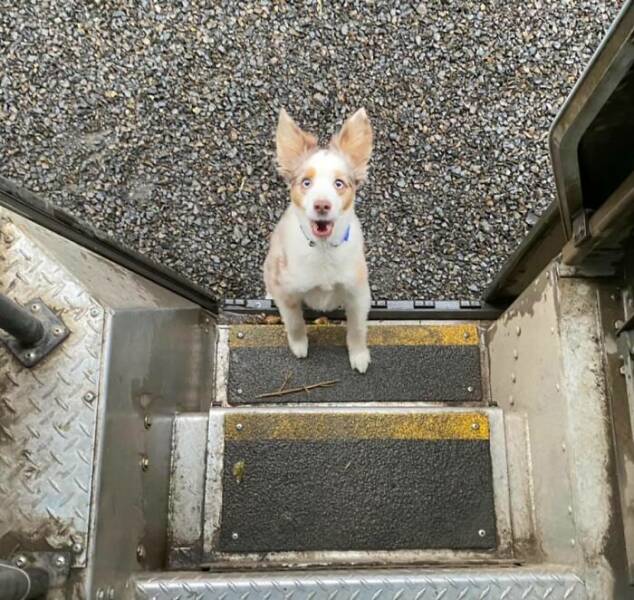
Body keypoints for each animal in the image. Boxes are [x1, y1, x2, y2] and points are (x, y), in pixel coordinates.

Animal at [260, 107, 370, 370]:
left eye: (339, 183)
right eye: (306, 182)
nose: (321, 205)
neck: (323, 250)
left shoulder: (358, 292)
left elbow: (357, 328)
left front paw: (359, 355)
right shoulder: (287, 292)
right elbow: (294, 322)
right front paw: (299, 346)